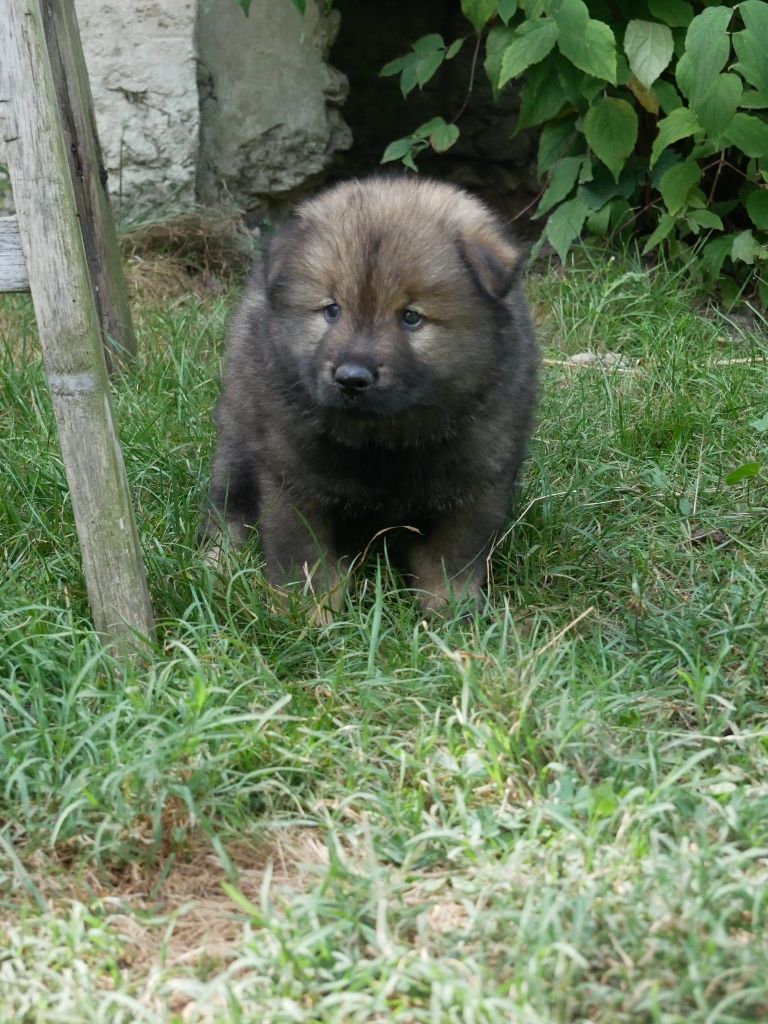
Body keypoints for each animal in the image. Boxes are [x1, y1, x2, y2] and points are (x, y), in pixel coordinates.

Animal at [206, 176, 538, 616]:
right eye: (331, 310)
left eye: (411, 317)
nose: (351, 378)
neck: (384, 440)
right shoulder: (292, 478)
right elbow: (303, 555)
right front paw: (307, 614)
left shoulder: (478, 481)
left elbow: (451, 557)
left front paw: (452, 614)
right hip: (239, 432)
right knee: (228, 506)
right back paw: (217, 563)